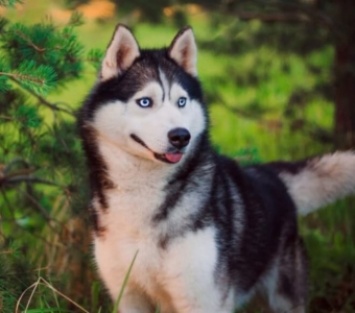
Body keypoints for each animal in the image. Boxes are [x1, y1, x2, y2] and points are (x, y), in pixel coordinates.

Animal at [78, 25, 355, 312]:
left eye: (181, 102)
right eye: (145, 102)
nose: (181, 136)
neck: (144, 196)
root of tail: (271, 177)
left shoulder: (203, 298)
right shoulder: (129, 296)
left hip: (284, 298)